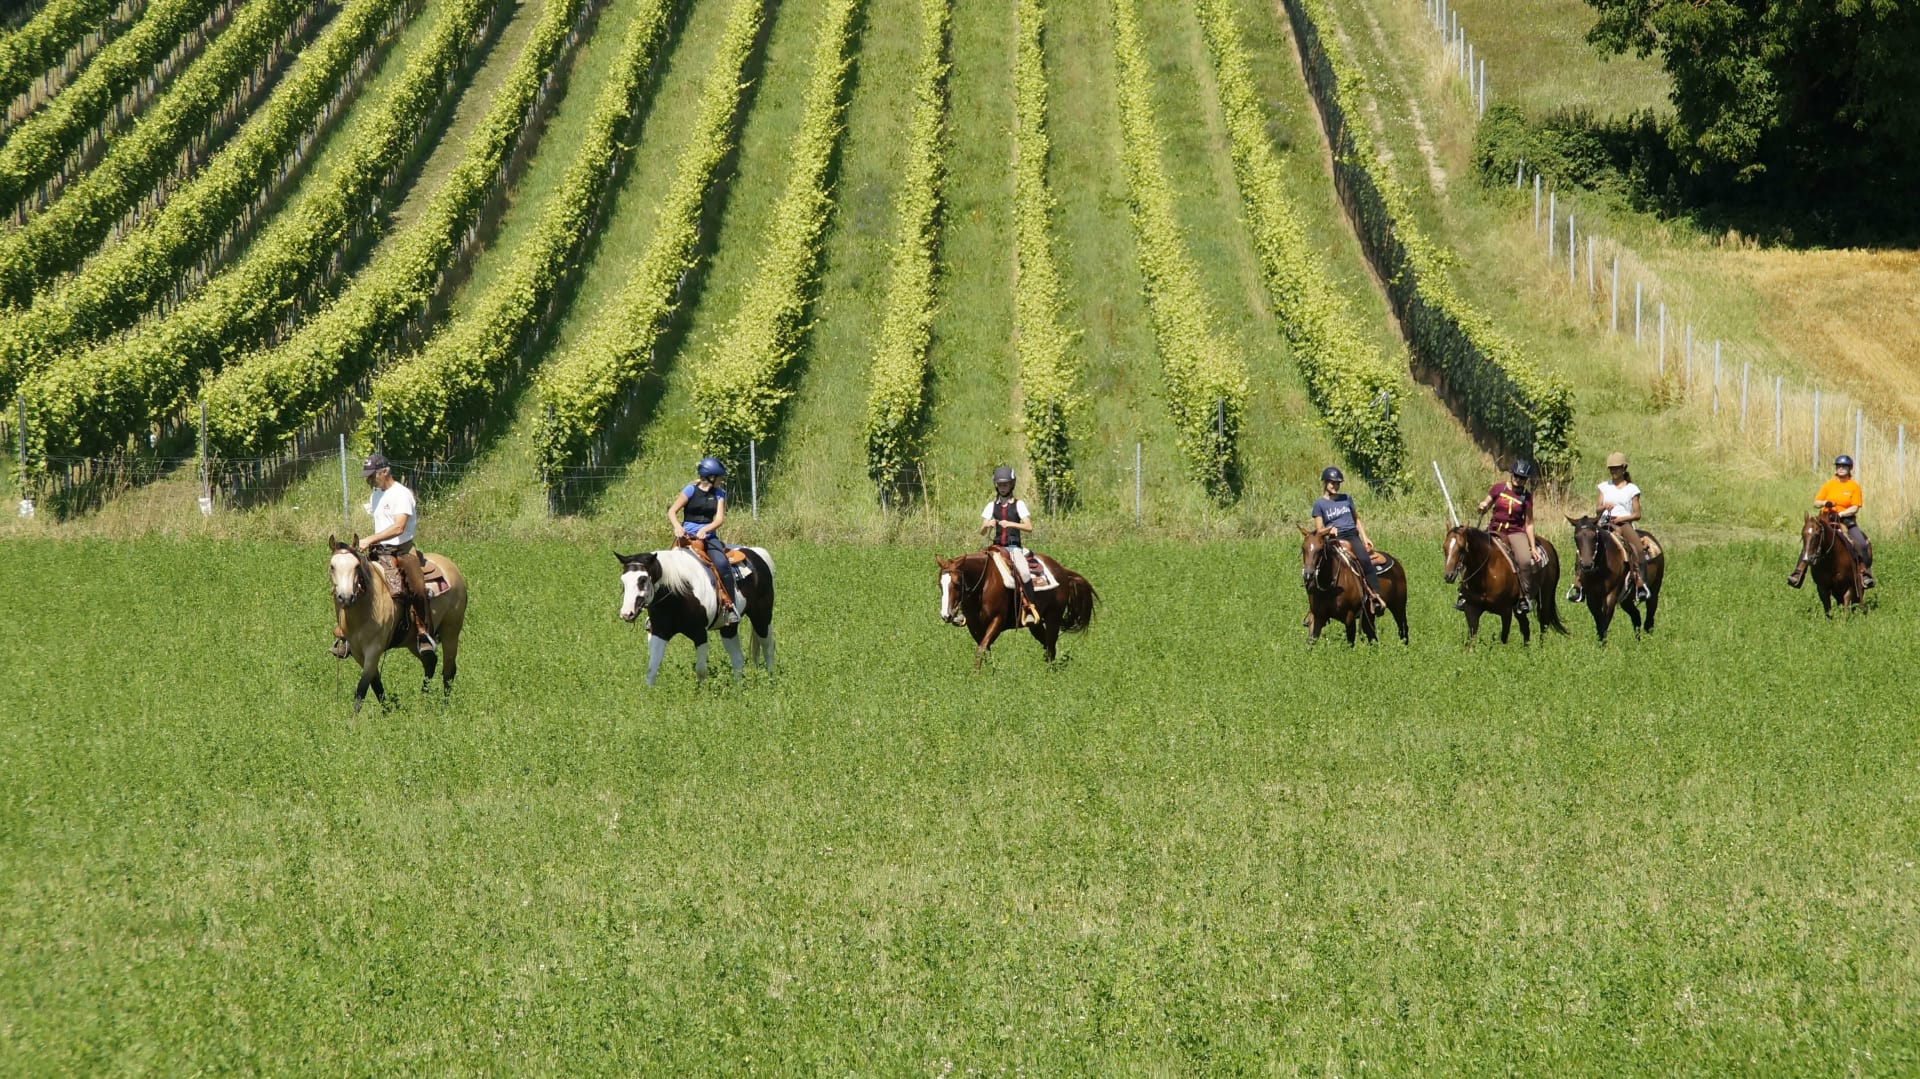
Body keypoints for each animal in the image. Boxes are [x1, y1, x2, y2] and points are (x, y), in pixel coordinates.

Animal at [328, 535, 467, 713]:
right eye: (332, 566)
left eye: (357, 566)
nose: (345, 597)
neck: (366, 607)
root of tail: (451, 567)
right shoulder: (357, 651)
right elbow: (376, 684)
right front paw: (387, 712)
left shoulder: (374, 648)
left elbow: (362, 688)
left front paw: (353, 720)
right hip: (413, 642)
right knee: (430, 662)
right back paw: (422, 703)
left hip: (451, 632)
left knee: (448, 671)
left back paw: (443, 709)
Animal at [615, 546, 775, 685]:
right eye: (623, 580)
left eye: (642, 579)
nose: (626, 613)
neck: (679, 592)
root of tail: (757, 554)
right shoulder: (659, 632)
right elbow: (651, 669)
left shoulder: (700, 634)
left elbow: (701, 670)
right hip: (728, 627)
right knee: (738, 659)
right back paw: (738, 688)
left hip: (761, 618)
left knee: (768, 648)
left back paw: (770, 680)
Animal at [936, 549, 1096, 667]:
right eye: (940, 584)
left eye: (957, 584)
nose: (946, 615)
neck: (984, 583)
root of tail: (1062, 571)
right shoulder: (974, 625)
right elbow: (985, 649)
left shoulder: (997, 620)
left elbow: (981, 649)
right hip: (1036, 624)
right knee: (1046, 645)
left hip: (1053, 618)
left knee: (1051, 646)